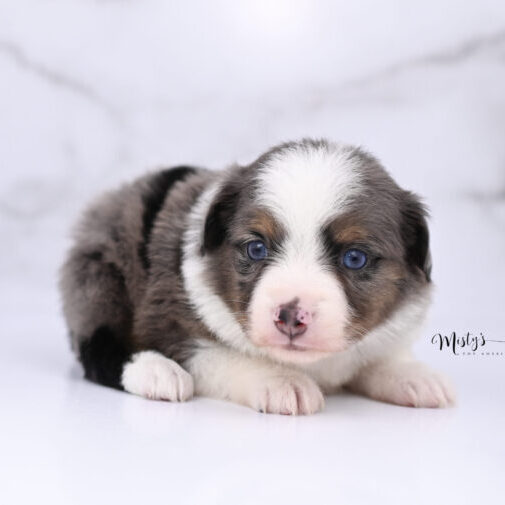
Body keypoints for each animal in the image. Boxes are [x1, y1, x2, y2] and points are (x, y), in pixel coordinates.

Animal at [59, 138, 452, 414]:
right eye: (256, 249)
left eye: (354, 258)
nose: (290, 316)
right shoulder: (171, 323)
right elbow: (231, 358)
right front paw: (282, 381)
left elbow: (378, 357)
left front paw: (414, 376)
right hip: (101, 276)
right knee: (97, 350)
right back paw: (156, 372)